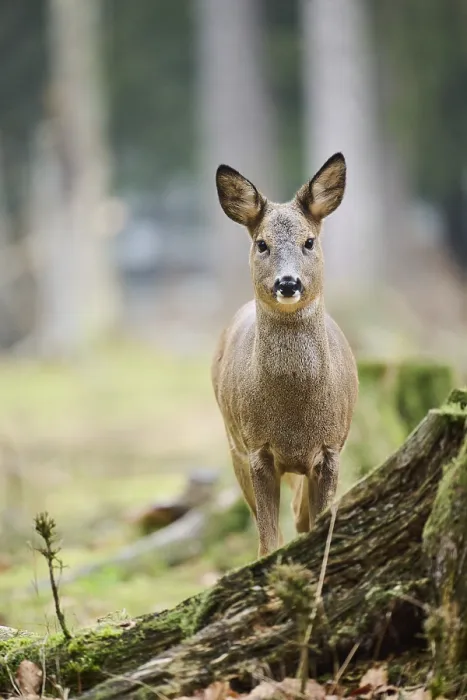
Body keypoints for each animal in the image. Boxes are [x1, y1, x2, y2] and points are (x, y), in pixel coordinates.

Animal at [212, 152, 358, 558]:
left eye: (309, 241)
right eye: (262, 244)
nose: (288, 283)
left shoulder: (331, 448)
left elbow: (319, 524)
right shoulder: (256, 449)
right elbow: (267, 540)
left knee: (299, 512)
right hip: (233, 443)